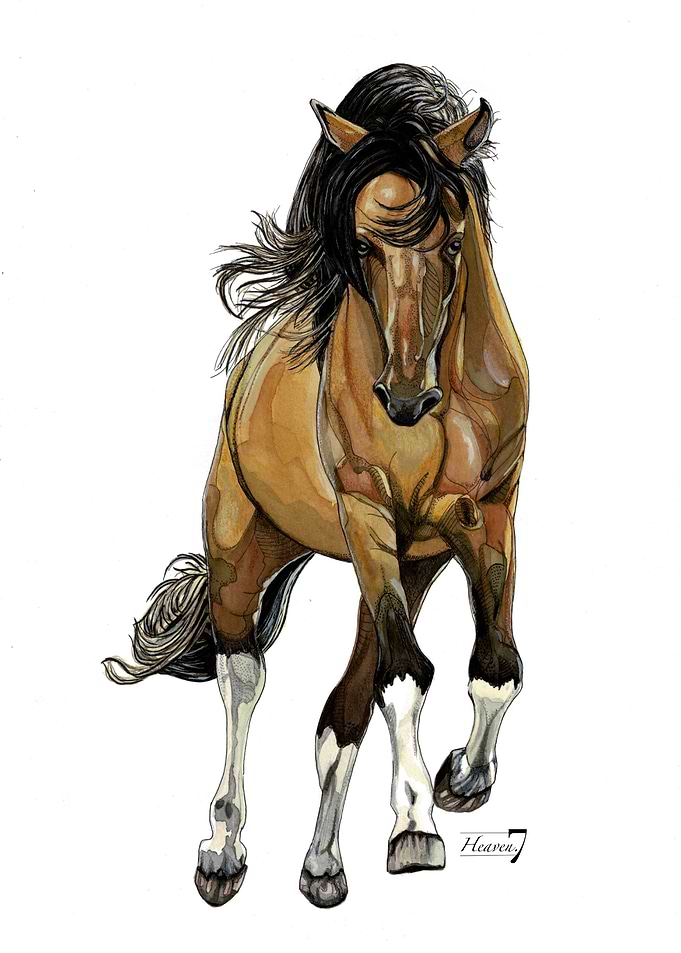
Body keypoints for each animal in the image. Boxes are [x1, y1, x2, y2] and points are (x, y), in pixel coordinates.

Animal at [104, 63, 529, 909]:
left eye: (453, 239)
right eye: (361, 244)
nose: (404, 399)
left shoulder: (488, 516)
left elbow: (494, 667)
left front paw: (463, 779)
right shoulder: (366, 515)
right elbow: (406, 677)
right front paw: (415, 828)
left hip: (410, 567)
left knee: (343, 711)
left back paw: (324, 864)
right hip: (245, 550)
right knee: (242, 677)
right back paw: (222, 852)